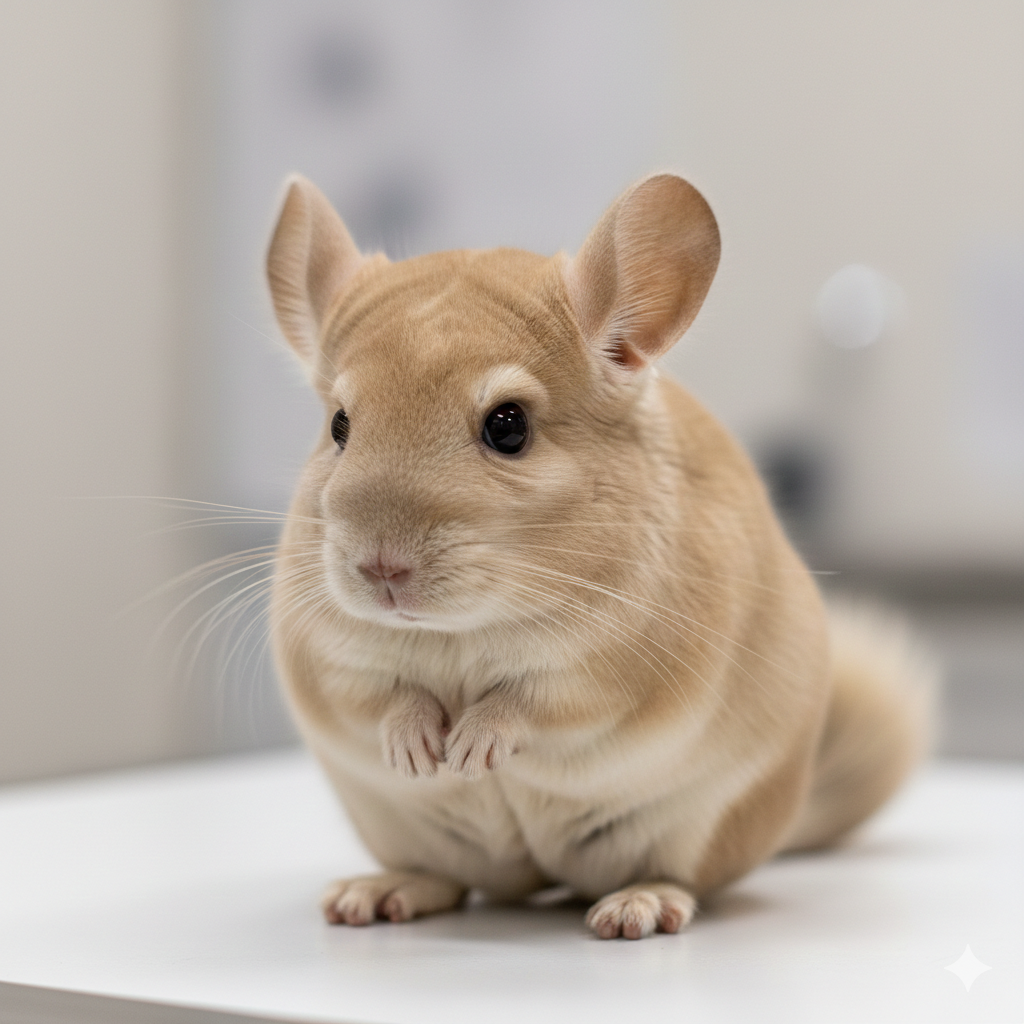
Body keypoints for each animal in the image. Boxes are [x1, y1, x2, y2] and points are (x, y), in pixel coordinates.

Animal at [265, 173, 934, 939]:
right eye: (339, 425)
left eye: (508, 426)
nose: (381, 571)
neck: (460, 629)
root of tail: (542, 878)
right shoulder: (334, 655)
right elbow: (380, 698)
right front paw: (420, 751)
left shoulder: (613, 664)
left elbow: (530, 702)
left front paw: (470, 750)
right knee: (450, 880)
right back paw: (372, 895)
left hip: (695, 829)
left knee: (674, 878)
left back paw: (636, 907)